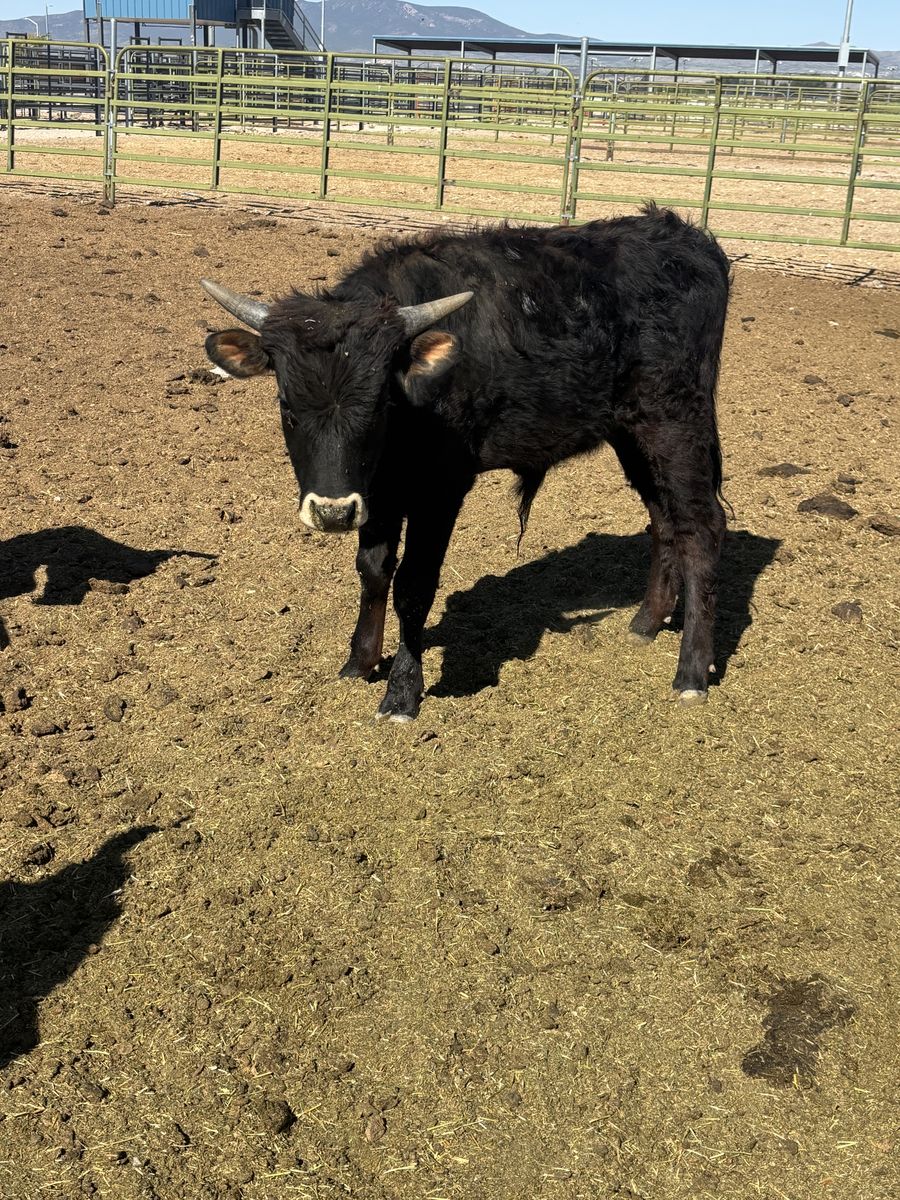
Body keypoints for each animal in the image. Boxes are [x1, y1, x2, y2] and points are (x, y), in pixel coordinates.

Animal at [201, 204, 731, 722]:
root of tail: (686, 238)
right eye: (288, 406)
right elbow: (373, 570)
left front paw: (402, 693)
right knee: (665, 520)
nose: (333, 513)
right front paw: (360, 660)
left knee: (701, 528)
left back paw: (691, 673)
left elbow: (413, 584)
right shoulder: (380, 489)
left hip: (675, 422)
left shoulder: (441, 488)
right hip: (632, 434)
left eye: (378, 404)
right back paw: (646, 622)